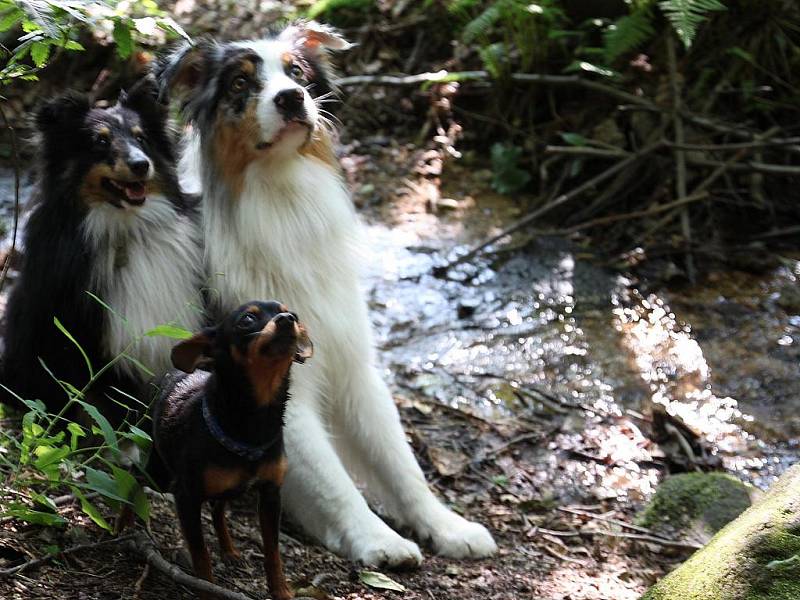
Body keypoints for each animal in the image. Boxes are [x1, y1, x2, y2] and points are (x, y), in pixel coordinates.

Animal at [3, 79, 203, 426]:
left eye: (141, 137)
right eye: (100, 141)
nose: (141, 164)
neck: (124, 228)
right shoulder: (74, 337)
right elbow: (93, 409)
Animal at [150, 302, 312, 600]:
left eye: (293, 314)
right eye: (247, 319)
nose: (287, 319)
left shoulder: (271, 494)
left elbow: (273, 551)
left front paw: (281, 590)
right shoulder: (186, 496)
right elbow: (200, 553)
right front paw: (206, 589)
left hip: (225, 488)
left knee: (218, 509)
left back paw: (229, 549)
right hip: (157, 472)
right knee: (133, 489)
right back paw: (122, 526)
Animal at [159, 23, 496, 564]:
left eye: (295, 72)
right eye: (239, 83)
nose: (291, 98)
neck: (282, 196)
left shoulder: (353, 363)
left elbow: (399, 461)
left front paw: (446, 526)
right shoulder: (274, 382)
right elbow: (333, 480)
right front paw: (378, 539)